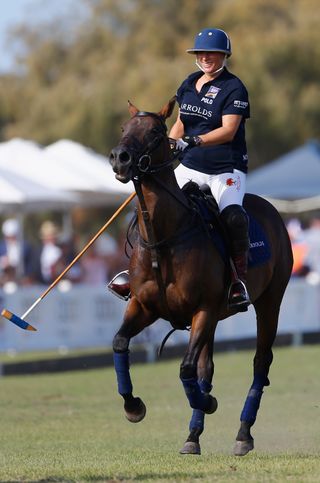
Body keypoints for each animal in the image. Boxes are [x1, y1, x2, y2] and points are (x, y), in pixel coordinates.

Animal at [109, 97, 292, 458]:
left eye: (155, 131)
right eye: (124, 127)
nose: (120, 158)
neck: (164, 237)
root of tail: (272, 210)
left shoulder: (203, 309)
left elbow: (186, 368)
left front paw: (208, 403)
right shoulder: (143, 306)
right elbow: (120, 343)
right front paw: (133, 406)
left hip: (270, 301)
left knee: (260, 362)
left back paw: (243, 433)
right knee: (208, 366)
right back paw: (193, 436)